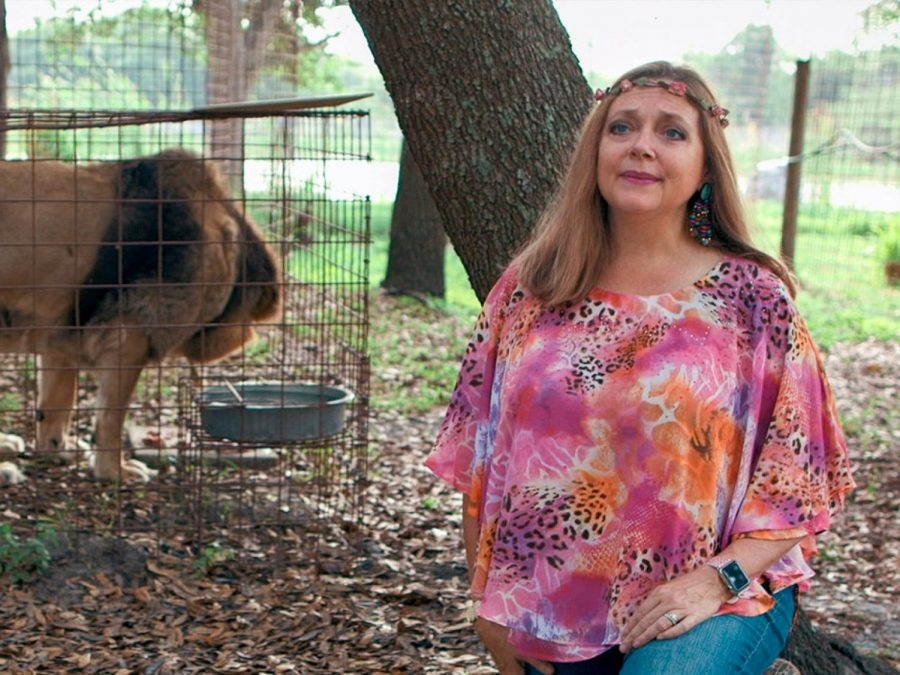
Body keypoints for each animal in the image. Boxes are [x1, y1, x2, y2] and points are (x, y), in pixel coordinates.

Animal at [0, 151, 282, 484]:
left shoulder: (61, 331)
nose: (244, 336)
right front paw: (114, 472)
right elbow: (110, 419)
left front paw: (58, 449)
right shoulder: (129, 335)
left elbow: (56, 404)